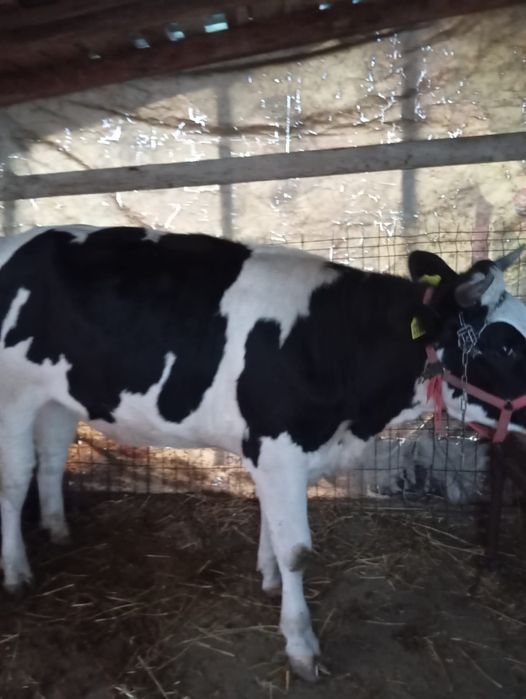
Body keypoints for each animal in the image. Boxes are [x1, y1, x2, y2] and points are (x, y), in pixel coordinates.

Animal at [0, 225, 525, 682]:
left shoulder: (290, 455)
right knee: (16, 478)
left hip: (58, 397)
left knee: (50, 459)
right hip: (15, 395)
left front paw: (269, 579)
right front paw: (301, 645)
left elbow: (273, 529)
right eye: (504, 346)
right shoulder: (278, 450)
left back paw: (58, 530)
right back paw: (16, 571)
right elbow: (296, 550)